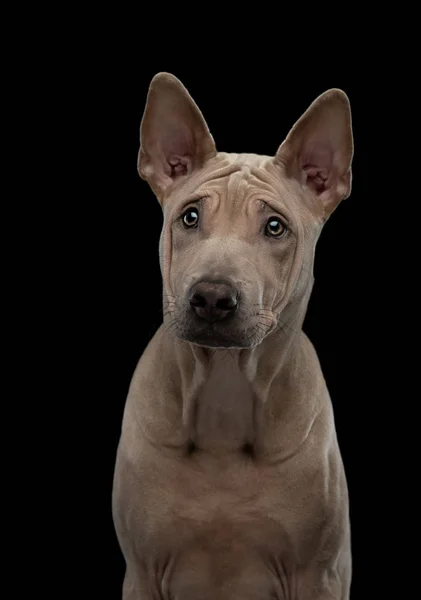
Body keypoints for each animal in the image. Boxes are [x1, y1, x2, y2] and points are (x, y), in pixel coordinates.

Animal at [110, 72, 352, 596]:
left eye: (275, 226)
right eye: (190, 217)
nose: (212, 297)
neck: (225, 393)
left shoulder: (317, 574)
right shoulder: (142, 571)